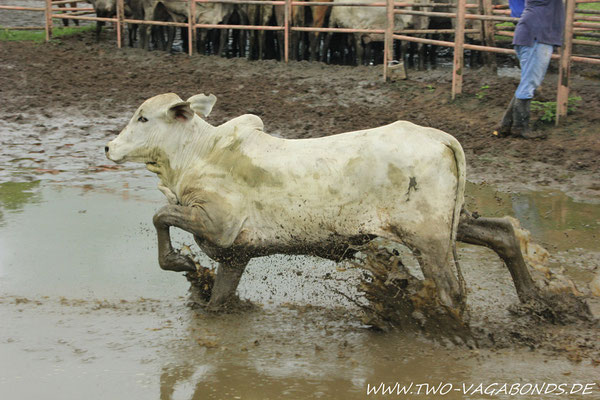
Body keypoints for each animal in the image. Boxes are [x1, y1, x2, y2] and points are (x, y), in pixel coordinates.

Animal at [105, 93, 466, 316]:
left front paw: (181, 262)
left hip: (428, 239)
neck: (198, 153)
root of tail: (437, 137)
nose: (109, 147)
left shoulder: (218, 225)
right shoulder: (236, 254)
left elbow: (161, 215)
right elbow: (218, 300)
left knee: (450, 292)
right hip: (445, 226)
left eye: (143, 118)